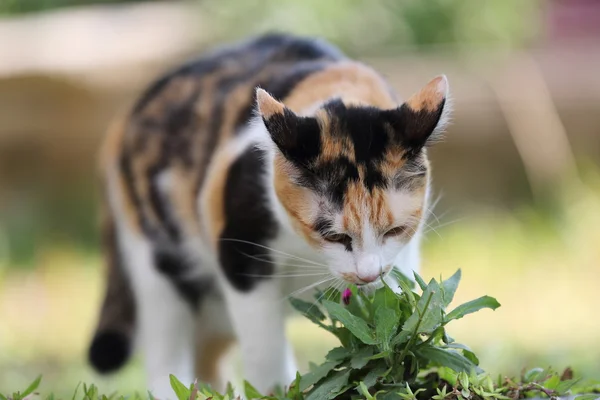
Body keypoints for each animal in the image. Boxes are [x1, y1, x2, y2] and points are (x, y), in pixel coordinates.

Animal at [88, 33, 450, 396]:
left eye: (394, 230)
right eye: (333, 235)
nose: (367, 275)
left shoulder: (397, 263)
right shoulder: (240, 253)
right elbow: (265, 349)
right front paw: (280, 390)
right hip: (160, 257)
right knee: (167, 342)